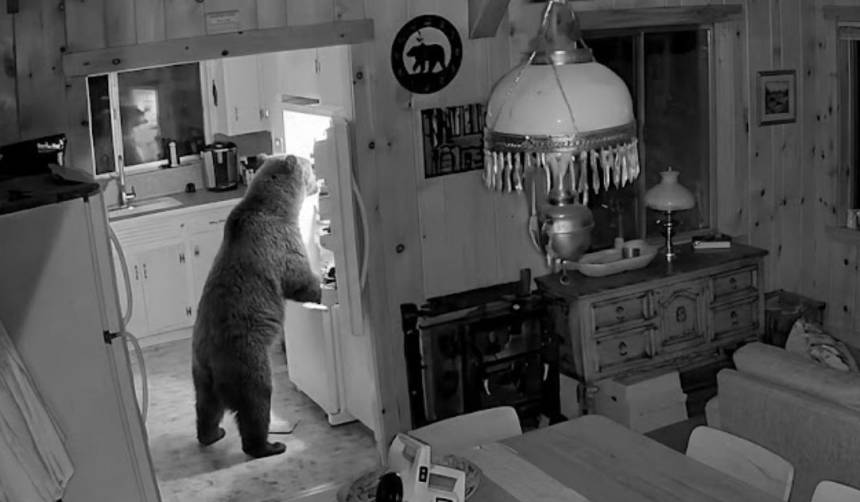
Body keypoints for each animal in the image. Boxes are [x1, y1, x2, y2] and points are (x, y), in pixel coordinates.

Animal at [191, 154, 322, 459]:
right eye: (308, 165)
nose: (316, 170)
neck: (279, 205)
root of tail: (211, 363)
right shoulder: (278, 243)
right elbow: (298, 277)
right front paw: (320, 288)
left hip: (201, 373)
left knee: (206, 407)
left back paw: (212, 434)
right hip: (246, 359)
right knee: (256, 402)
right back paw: (269, 445)